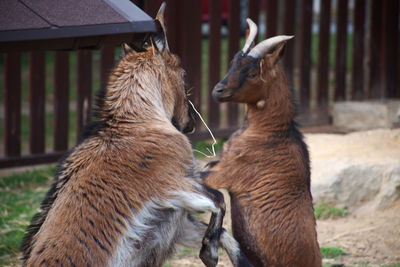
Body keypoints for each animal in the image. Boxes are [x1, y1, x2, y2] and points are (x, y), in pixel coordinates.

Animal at [21, 4, 250, 267]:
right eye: (183, 74)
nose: (190, 123)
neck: (136, 122)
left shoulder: (175, 222)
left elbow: (222, 231)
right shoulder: (172, 185)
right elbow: (218, 200)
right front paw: (209, 253)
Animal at [203, 19, 322, 267]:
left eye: (251, 72)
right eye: (233, 63)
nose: (218, 91)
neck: (270, 133)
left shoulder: (227, 174)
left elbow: (216, 196)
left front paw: (209, 251)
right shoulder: (218, 164)